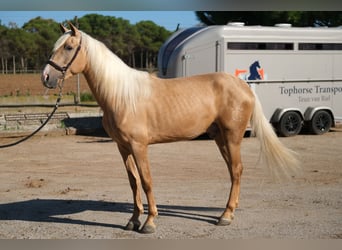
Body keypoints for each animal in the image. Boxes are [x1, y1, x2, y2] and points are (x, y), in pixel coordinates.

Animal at [42, 23, 300, 232]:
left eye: (69, 47)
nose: (46, 77)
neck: (121, 95)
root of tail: (244, 86)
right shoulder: (123, 147)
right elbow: (133, 182)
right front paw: (133, 220)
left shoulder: (139, 146)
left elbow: (146, 180)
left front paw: (149, 222)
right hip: (219, 137)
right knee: (232, 171)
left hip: (233, 136)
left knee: (236, 171)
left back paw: (225, 216)